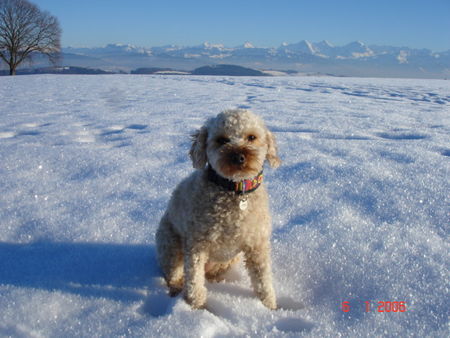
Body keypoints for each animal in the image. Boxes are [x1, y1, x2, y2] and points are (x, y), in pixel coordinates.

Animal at [156, 108, 280, 308]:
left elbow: (263, 280)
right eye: (221, 140)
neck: (234, 190)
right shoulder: (196, 243)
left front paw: (269, 306)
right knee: (174, 275)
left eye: (252, 137)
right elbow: (194, 280)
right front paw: (196, 305)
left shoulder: (257, 244)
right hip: (170, 246)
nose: (239, 157)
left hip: (229, 259)